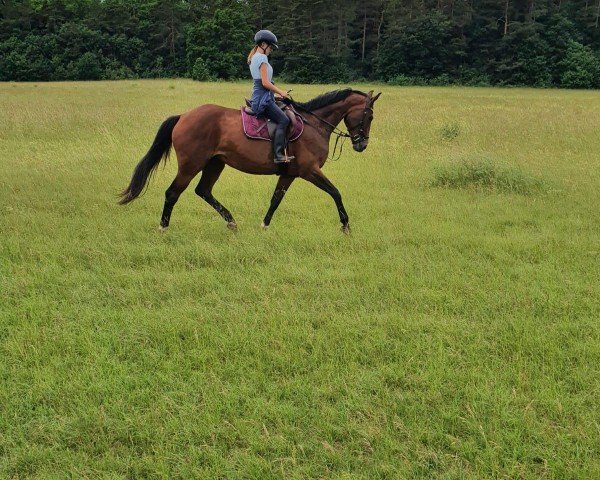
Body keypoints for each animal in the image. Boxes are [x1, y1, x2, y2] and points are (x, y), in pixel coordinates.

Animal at [117, 89, 380, 235]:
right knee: (173, 193)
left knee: (203, 191)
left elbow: (276, 199)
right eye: (369, 116)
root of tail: (184, 116)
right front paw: (345, 226)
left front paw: (264, 225)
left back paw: (232, 222)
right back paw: (163, 227)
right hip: (191, 165)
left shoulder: (290, 173)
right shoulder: (309, 171)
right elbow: (336, 192)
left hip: (215, 163)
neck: (314, 124)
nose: (362, 145)